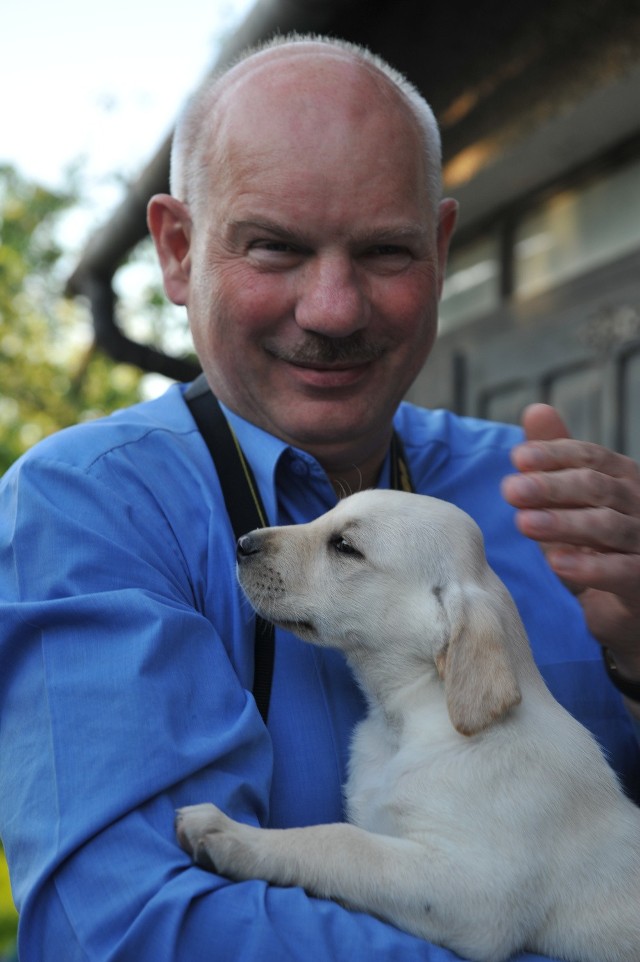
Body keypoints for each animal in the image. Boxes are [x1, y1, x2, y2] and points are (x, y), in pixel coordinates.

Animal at [178, 492, 640, 956]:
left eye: (344, 546)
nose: (241, 544)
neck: (403, 723)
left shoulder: (477, 891)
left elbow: (340, 843)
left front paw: (230, 833)